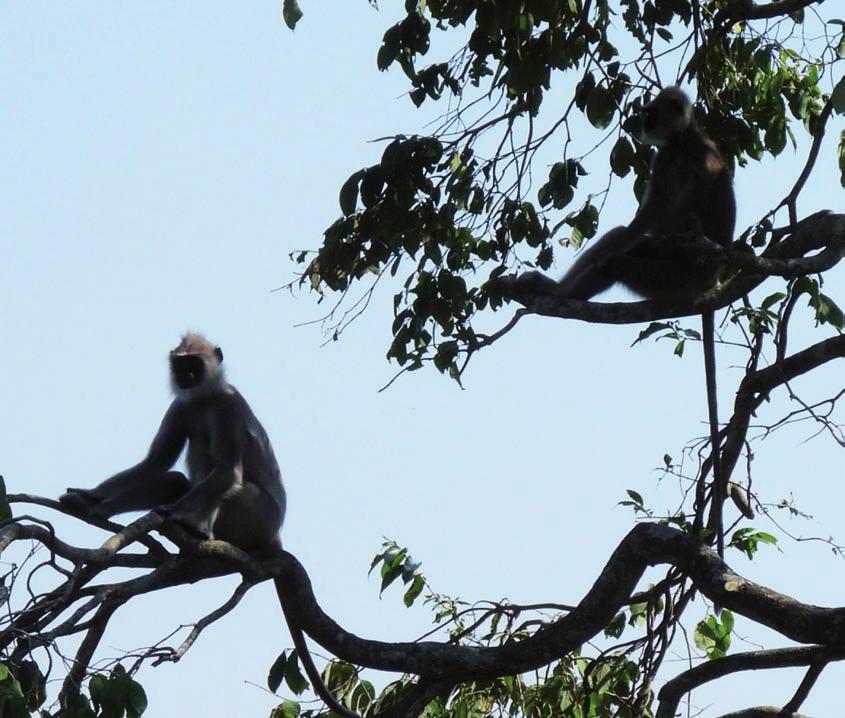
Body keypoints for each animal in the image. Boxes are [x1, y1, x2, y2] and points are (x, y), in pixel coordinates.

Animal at [60, 334, 360, 718]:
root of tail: (276, 533)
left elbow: (228, 473)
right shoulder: (182, 407)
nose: (186, 376)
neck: (205, 397)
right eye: (181, 365)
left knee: (229, 483)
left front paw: (175, 515)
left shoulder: (228, 406)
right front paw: (91, 498)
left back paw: (195, 528)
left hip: (257, 516)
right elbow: (155, 463)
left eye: (194, 364)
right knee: (174, 479)